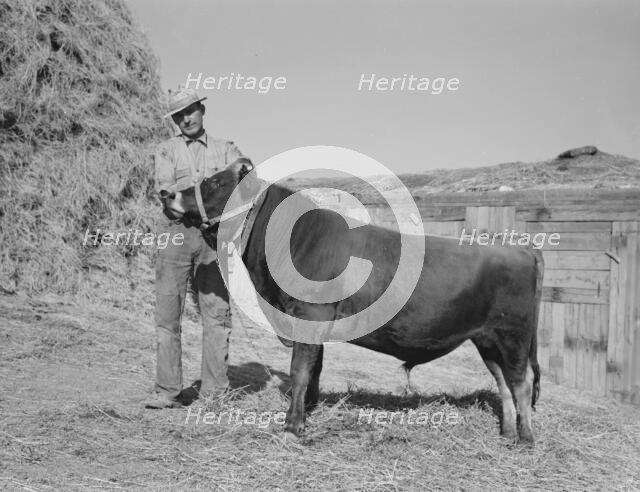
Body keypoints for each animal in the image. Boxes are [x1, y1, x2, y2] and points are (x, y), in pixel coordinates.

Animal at [162, 160, 544, 445]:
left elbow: (300, 370)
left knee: (521, 383)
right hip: (487, 339)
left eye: (214, 183)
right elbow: (313, 369)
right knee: (504, 385)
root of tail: (521, 249)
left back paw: (526, 438)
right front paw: (307, 411)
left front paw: (292, 426)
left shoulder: (310, 314)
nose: (166, 193)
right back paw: (507, 433)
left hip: (513, 335)